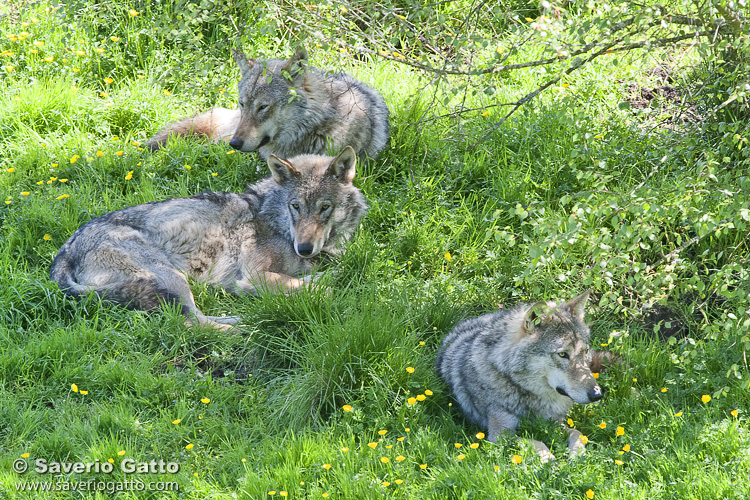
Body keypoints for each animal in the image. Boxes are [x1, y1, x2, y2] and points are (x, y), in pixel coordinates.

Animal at [48, 146, 372, 330]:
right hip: (171, 277)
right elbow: (321, 290)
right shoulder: (252, 277)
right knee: (192, 324)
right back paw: (247, 330)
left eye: (324, 208)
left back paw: (249, 318)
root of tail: (64, 251)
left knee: (199, 318)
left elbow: (325, 277)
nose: (304, 248)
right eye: (296, 207)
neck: (276, 221)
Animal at [434, 292, 616, 462]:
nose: (597, 394)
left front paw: (577, 455)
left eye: (585, 351)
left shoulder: (555, 423)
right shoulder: (500, 434)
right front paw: (550, 461)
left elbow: (577, 433)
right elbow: (537, 442)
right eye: (563, 354)